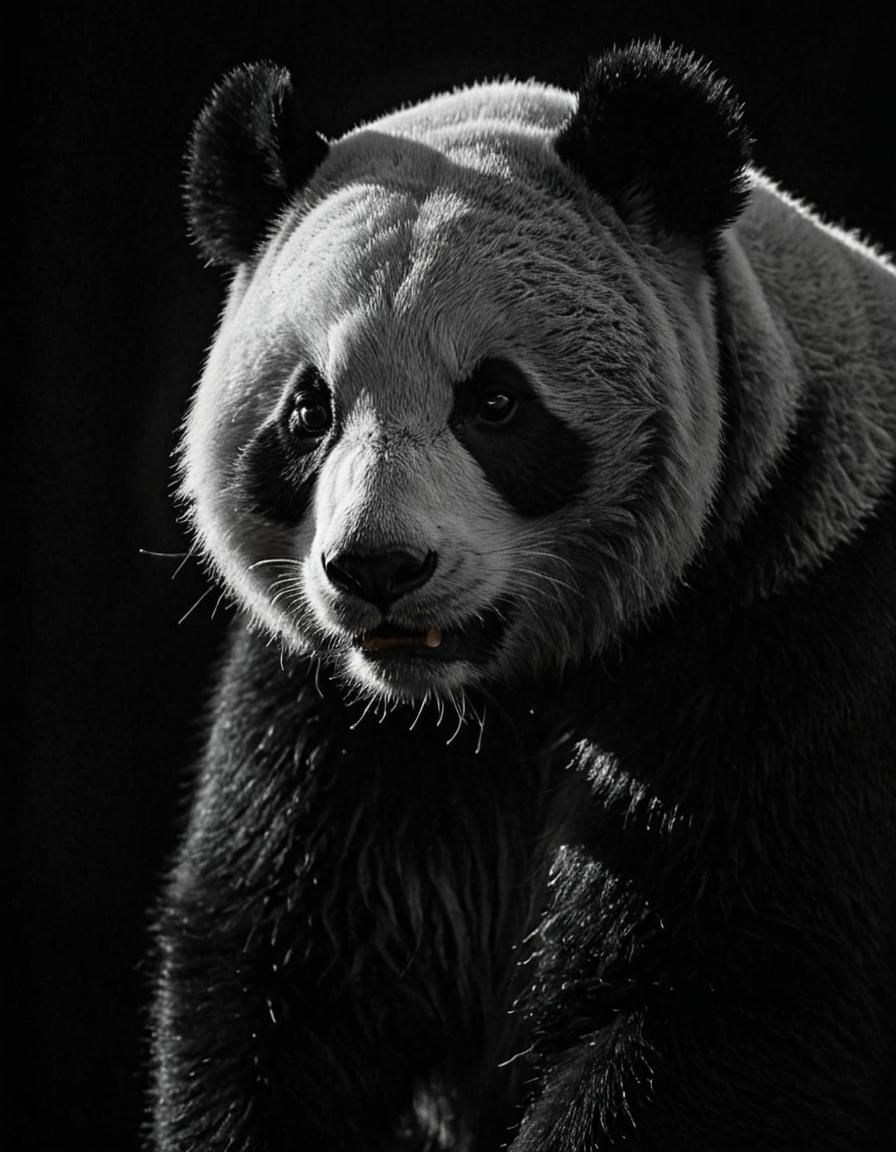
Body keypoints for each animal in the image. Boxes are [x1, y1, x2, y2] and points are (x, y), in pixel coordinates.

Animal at [151, 42, 896, 1151]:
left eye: (494, 401)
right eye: (307, 411)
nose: (378, 569)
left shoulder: (795, 643)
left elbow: (732, 1007)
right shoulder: (337, 729)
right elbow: (279, 976)